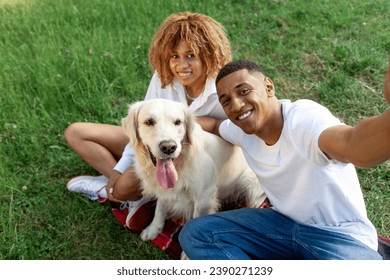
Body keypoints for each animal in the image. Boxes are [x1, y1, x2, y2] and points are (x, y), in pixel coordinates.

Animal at [122, 99, 266, 242]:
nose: (169, 147)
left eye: (178, 122)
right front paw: (153, 229)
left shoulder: (204, 198)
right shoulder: (164, 190)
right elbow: (160, 209)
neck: (181, 163)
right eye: (149, 122)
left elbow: (193, 222)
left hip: (249, 180)